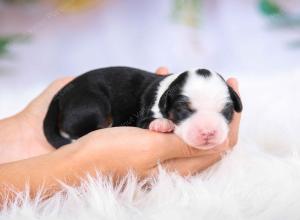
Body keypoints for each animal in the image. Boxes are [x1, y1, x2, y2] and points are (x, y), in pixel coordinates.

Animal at [43, 66, 243, 150]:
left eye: (226, 111)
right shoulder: (143, 115)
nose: (208, 132)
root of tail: (61, 94)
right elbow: (148, 121)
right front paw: (162, 124)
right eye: (183, 110)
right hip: (92, 105)